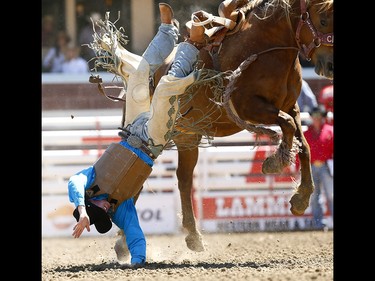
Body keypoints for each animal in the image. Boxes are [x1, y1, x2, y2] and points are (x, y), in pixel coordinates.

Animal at [110, 0, 334, 254]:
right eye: (323, 20)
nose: (330, 66)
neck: (266, 45)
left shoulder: (292, 107)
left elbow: (304, 144)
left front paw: (301, 198)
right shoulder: (248, 106)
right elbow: (285, 124)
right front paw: (274, 163)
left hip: (187, 137)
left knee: (183, 179)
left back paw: (188, 236)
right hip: (161, 132)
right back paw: (126, 239)